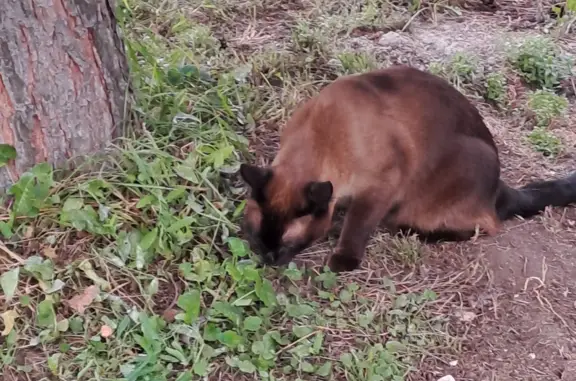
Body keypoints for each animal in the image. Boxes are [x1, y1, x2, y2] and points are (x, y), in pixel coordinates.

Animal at [237, 67, 576, 272]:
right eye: (258, 238)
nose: (269, 260)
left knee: (485, 225)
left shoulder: (381, 186)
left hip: (455, 176)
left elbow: (358, 224)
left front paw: (342, 260)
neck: (322, 135)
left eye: (287, 244)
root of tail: (498, 187)